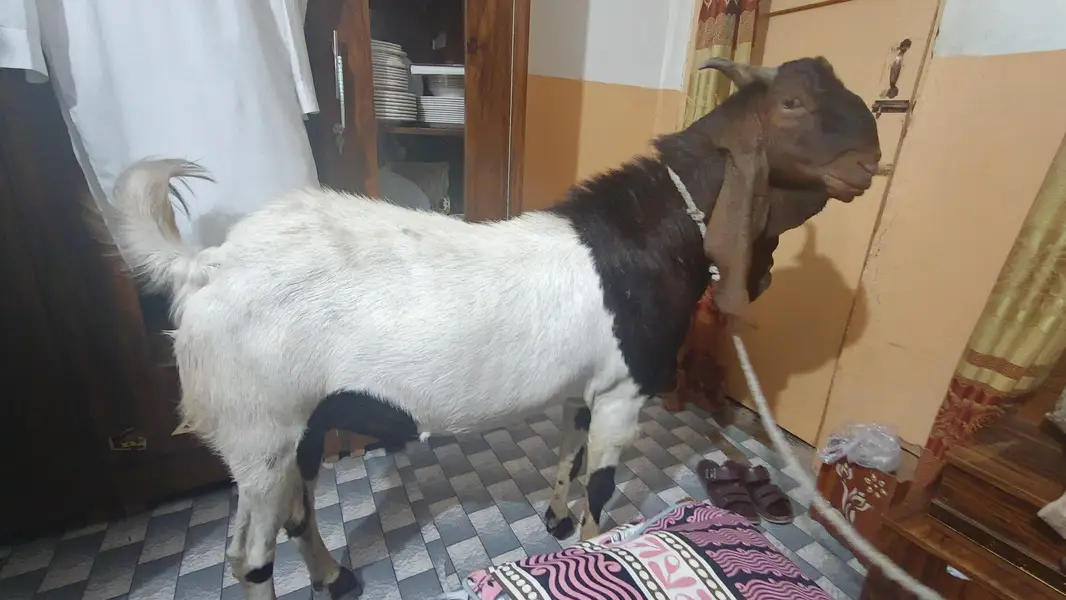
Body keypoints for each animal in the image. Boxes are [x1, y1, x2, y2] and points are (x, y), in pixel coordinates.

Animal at [110, 56, 880, 600]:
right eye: (793, 103)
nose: (870, 162)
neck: (655, 231)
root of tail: (206, 265)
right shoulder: (626, 389)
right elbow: (601, 484)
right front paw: (592, 547)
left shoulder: (586, 385)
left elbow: (568, 450)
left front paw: (555, 521)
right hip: (259, 431)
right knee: (248, 555)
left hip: (298, 426)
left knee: (295, 512)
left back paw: (335, 577)